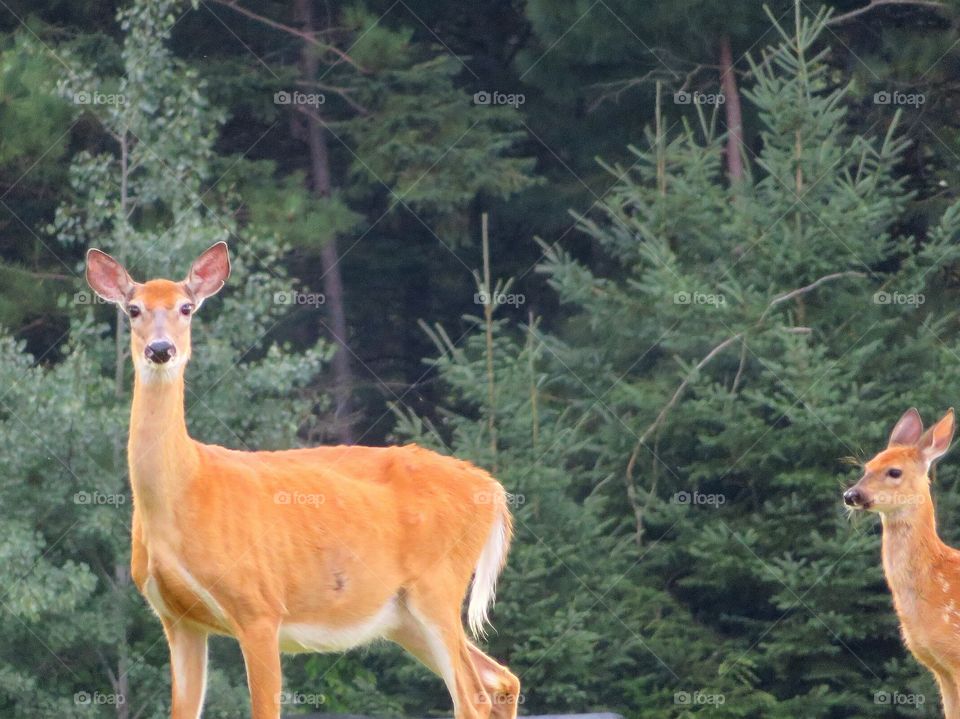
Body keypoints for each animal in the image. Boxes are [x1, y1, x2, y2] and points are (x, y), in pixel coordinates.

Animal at [85, 242, 521, 719]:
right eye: (133, 310)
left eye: (186, 307)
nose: (161, 349)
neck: (187, 489)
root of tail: (492, 489)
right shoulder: (177, 618)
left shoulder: (259, 606)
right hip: (402, 616)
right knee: (501, 679)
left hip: (438, 585)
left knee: (473, 693)